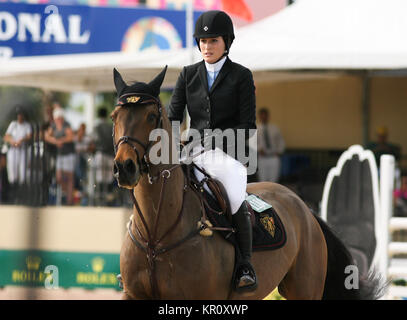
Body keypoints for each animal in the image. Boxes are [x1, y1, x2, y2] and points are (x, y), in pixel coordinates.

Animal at [111, 67, 386, 300]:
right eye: (115, 116)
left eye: (151, 116)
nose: (125, 168)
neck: (156, 235)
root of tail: (304, 208)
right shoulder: (133, 295)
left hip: (305, 289)